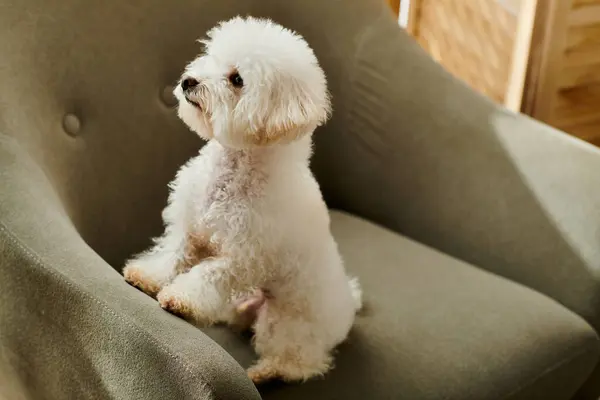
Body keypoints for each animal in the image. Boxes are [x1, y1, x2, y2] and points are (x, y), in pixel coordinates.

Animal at [123, 16, 360, 384]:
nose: (188, 81)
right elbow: (172, 254)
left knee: (304, 361)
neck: (234, 172)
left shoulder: (241, 257)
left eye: (236, 80)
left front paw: (180, 298)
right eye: (211, 56)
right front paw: (147, 276)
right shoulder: (187, 227)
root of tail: (349, 305)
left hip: (285, 322)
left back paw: (266, 372)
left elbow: (206, 275)